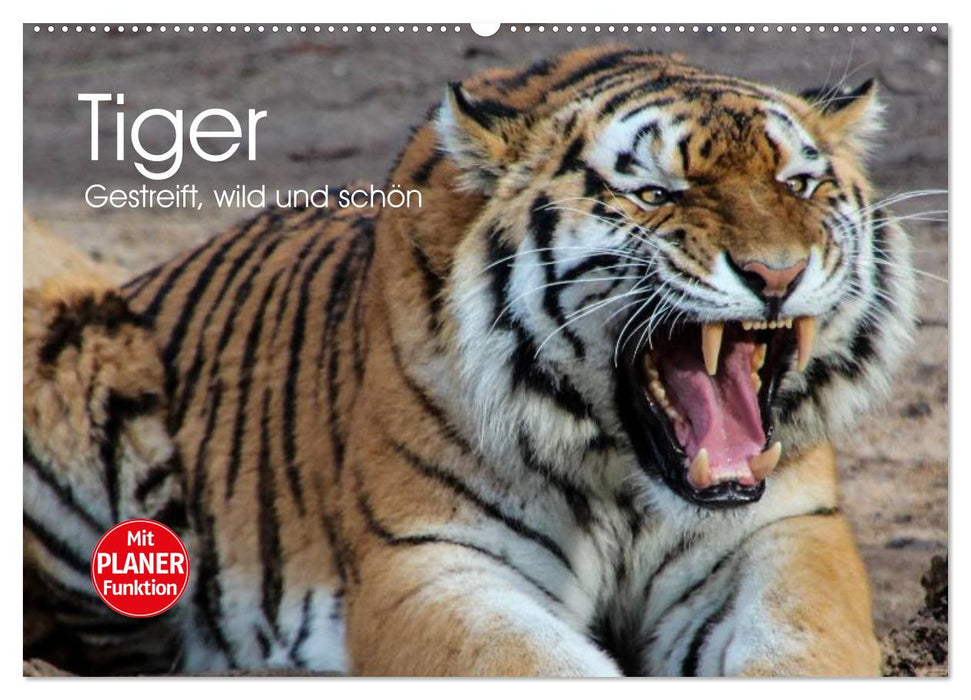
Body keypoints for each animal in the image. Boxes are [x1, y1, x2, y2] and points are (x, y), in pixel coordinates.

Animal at [23, 45, 917, 676]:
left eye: (797, 184)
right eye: (654, 195)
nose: (776, 274)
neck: (624, 476)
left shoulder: (785, 532)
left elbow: (803, 644)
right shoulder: (432, 559)